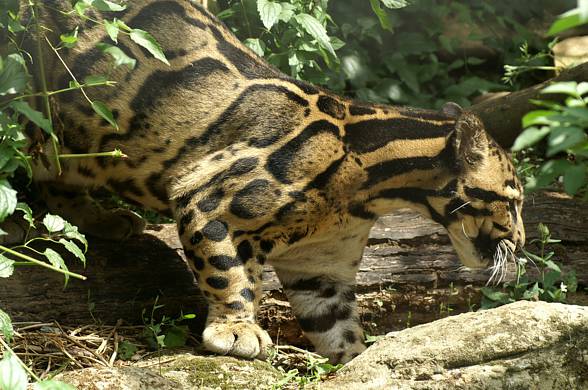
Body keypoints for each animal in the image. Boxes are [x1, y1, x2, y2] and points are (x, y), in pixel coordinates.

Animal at [9, 0, 524, 362]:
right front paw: (236, 329)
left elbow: (338, 327)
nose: (520, 240)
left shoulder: (321, 268)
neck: (366, 191)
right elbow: (227, 272)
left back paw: (106, 219)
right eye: (513, 200)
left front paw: (358, 361)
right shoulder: (207, 196)